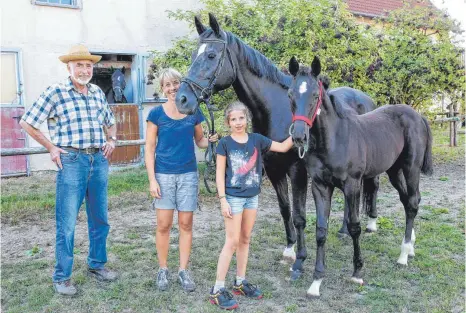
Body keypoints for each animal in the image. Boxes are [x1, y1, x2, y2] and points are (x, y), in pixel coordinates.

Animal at [288, 55, 434, 294]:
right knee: (406, 201)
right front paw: (316, 281)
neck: (334, 140)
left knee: (413, 201)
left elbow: (354, 227)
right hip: (393, 170)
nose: (299, 136)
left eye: (315, 95)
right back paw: (411, 245)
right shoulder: (320, 186)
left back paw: (403, 255)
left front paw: (357, 272)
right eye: (290, 94)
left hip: (411, 168)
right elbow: (320, 230)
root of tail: (417, 115)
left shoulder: (352, 185)